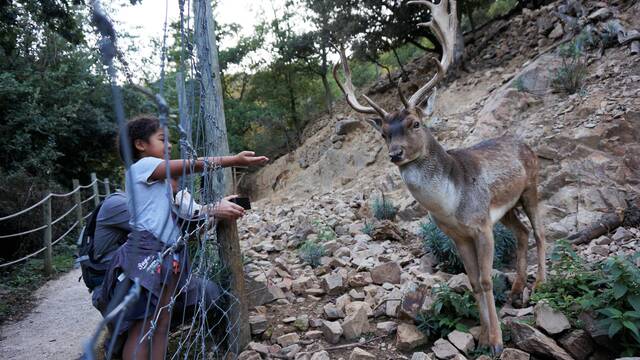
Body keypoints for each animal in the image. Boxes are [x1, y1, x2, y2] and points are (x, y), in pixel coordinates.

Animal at [332, 0, 548, 354]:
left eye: (415, 124)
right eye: (384, 134)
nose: (395, 154)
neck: (451, 204)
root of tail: (526, 143)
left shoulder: (481, 224)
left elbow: (486, 279)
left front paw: (497, 343)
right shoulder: (458, 234)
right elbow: (473, 282)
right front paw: (482, 338)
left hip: (531, 186)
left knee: (541, 233)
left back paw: (540, 284)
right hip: (507, 208)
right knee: (522, 233)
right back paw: (517, 292)